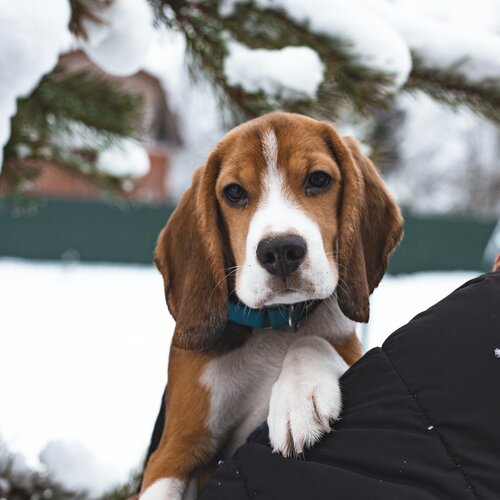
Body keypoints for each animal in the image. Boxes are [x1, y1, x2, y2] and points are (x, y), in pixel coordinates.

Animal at [139, 111, 404, 498]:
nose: (280, 250)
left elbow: (311, 340)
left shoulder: (355, 356)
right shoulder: (173, 453)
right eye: (234, 192)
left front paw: (299, 397)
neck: (277, 323)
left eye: (318, 180)